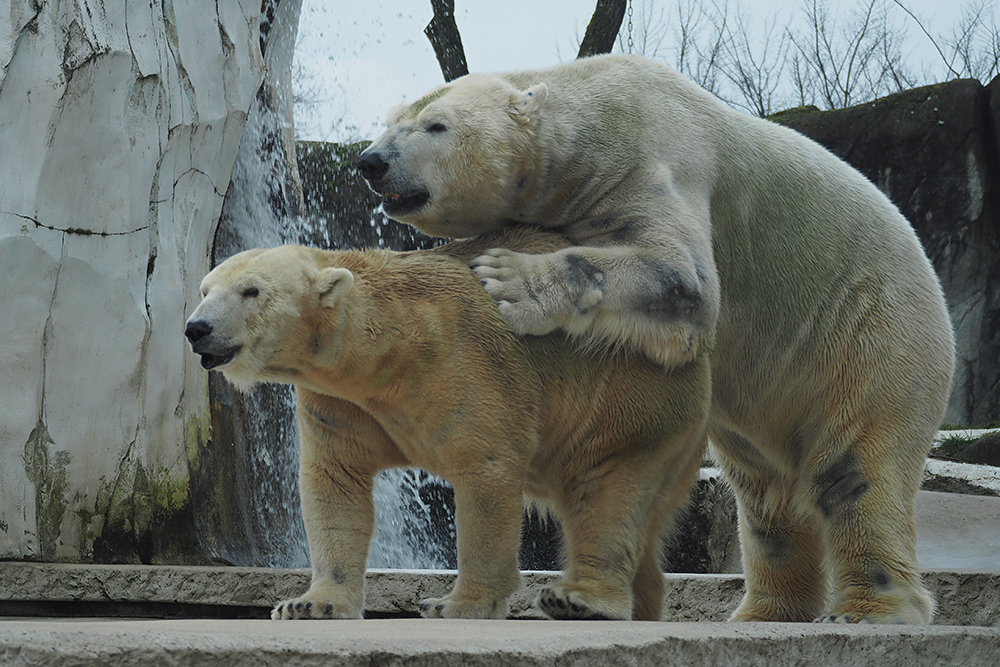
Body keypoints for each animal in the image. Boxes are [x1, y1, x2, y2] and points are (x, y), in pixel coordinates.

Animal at [184, 228, 708, 620]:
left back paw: (580, 600)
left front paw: (455, 604)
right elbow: (335, 481)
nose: (197, 328)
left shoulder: (463, 362)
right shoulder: (339, 401)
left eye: (251, 290)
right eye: (206, 289)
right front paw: (309, 604)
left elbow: (485, 467)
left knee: (608, 487)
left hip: (628, 394)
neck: (387, 348)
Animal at [362, 53, 960, 628]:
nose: (371, 161)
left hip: (874, 335)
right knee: (764, 497)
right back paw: (762, 610)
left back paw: (868, 608)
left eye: (436, 126)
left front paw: (507, 278)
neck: (593, 115)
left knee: (856, 471)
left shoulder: (653, 162)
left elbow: (682, 278)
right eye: (391, 122)